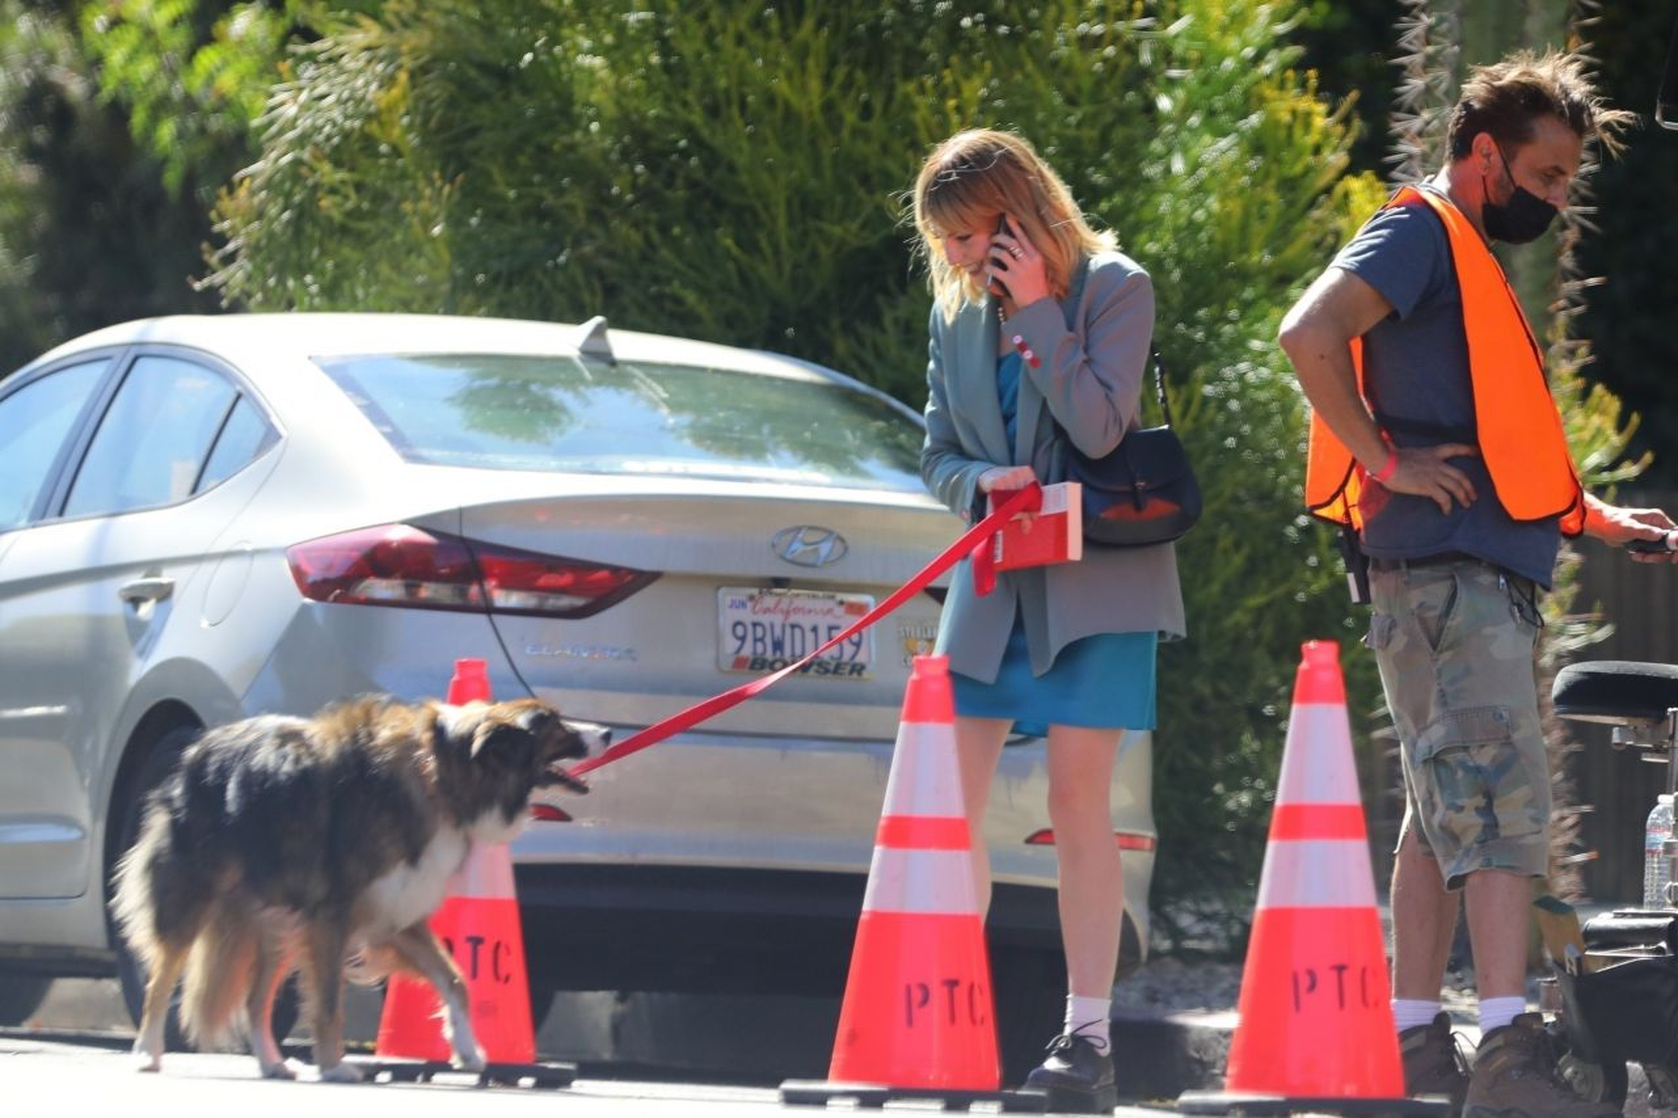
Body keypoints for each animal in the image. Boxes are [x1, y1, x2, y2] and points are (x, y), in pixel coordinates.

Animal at [106, 691, 604, 1074]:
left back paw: (271, 1063)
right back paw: (147, 1052)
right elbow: (329, 1001)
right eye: (554, 724)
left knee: (254, 1000)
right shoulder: (331, 916)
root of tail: (198, 747)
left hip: (277, 921)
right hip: (194, 898)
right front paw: (333, 1066)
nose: (607, 734)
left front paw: (468, 1050)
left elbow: (457, 980)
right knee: (160, 981)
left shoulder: (398, 915)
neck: (444, 772)